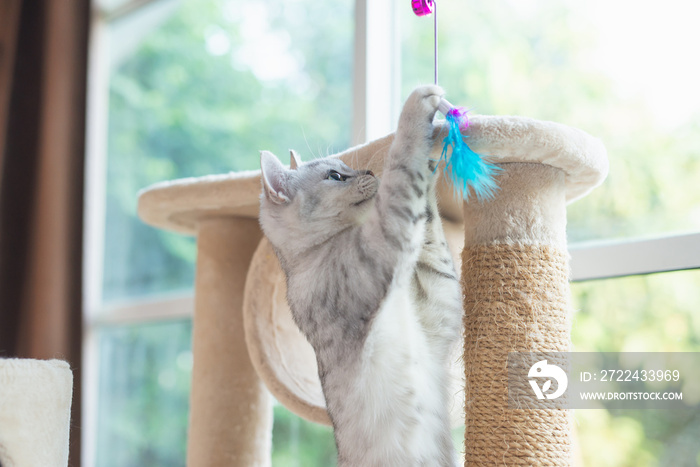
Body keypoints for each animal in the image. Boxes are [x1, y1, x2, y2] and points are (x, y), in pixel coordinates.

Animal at [260, 86, 462, 466]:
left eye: (345, 169)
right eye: (335, 176)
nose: (367, 168)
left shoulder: (438, 307)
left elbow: (429, 230)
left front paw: (431, 163)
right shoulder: (384, 242)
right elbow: (400, 167)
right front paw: (418, 107)